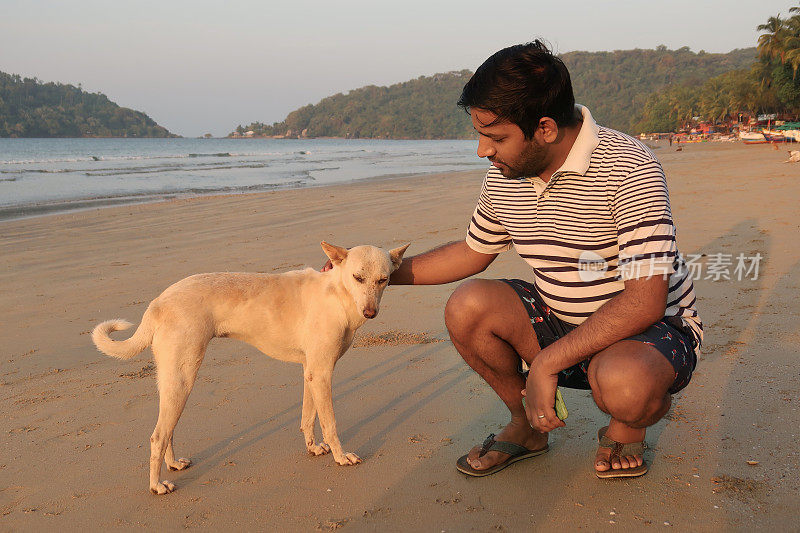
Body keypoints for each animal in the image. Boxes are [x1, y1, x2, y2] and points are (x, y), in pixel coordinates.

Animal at [90, 242, 410, 494]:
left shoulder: (311, 371)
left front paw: (313, 447)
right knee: (158, 435)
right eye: (358, 277)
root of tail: (158, 301)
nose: (370, 312)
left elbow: (308, 417)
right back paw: (156, 485)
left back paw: (172, 464)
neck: (338, 294)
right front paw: (341, 457)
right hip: (183, 379)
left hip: (171, 381)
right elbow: (329, 423)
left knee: (166, 430)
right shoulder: (322, 374)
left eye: (384, 280)